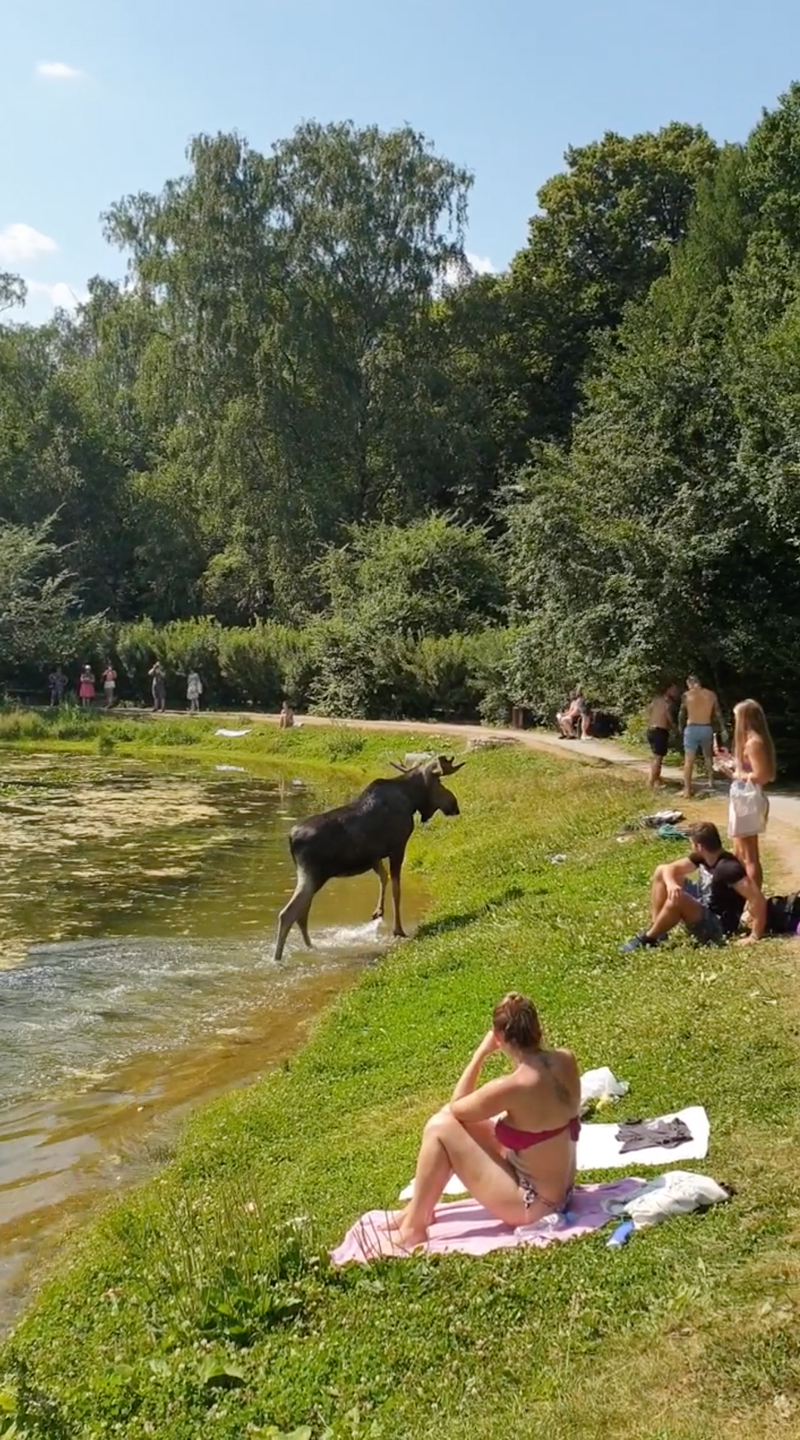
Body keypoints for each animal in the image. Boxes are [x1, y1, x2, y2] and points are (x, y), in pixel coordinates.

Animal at [273, 760, 466, 961]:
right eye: (439, 782)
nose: (454, 804)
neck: (411, 800)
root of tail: (291, 838)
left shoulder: (375, 857)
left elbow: (383, 877)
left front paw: (378, 912)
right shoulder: (397, 846)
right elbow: (396, 890)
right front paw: (398, 930)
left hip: (312, 878)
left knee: (301, 914)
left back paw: (311, 947)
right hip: (313, 875)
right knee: (287, 914)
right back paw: (278, 958)